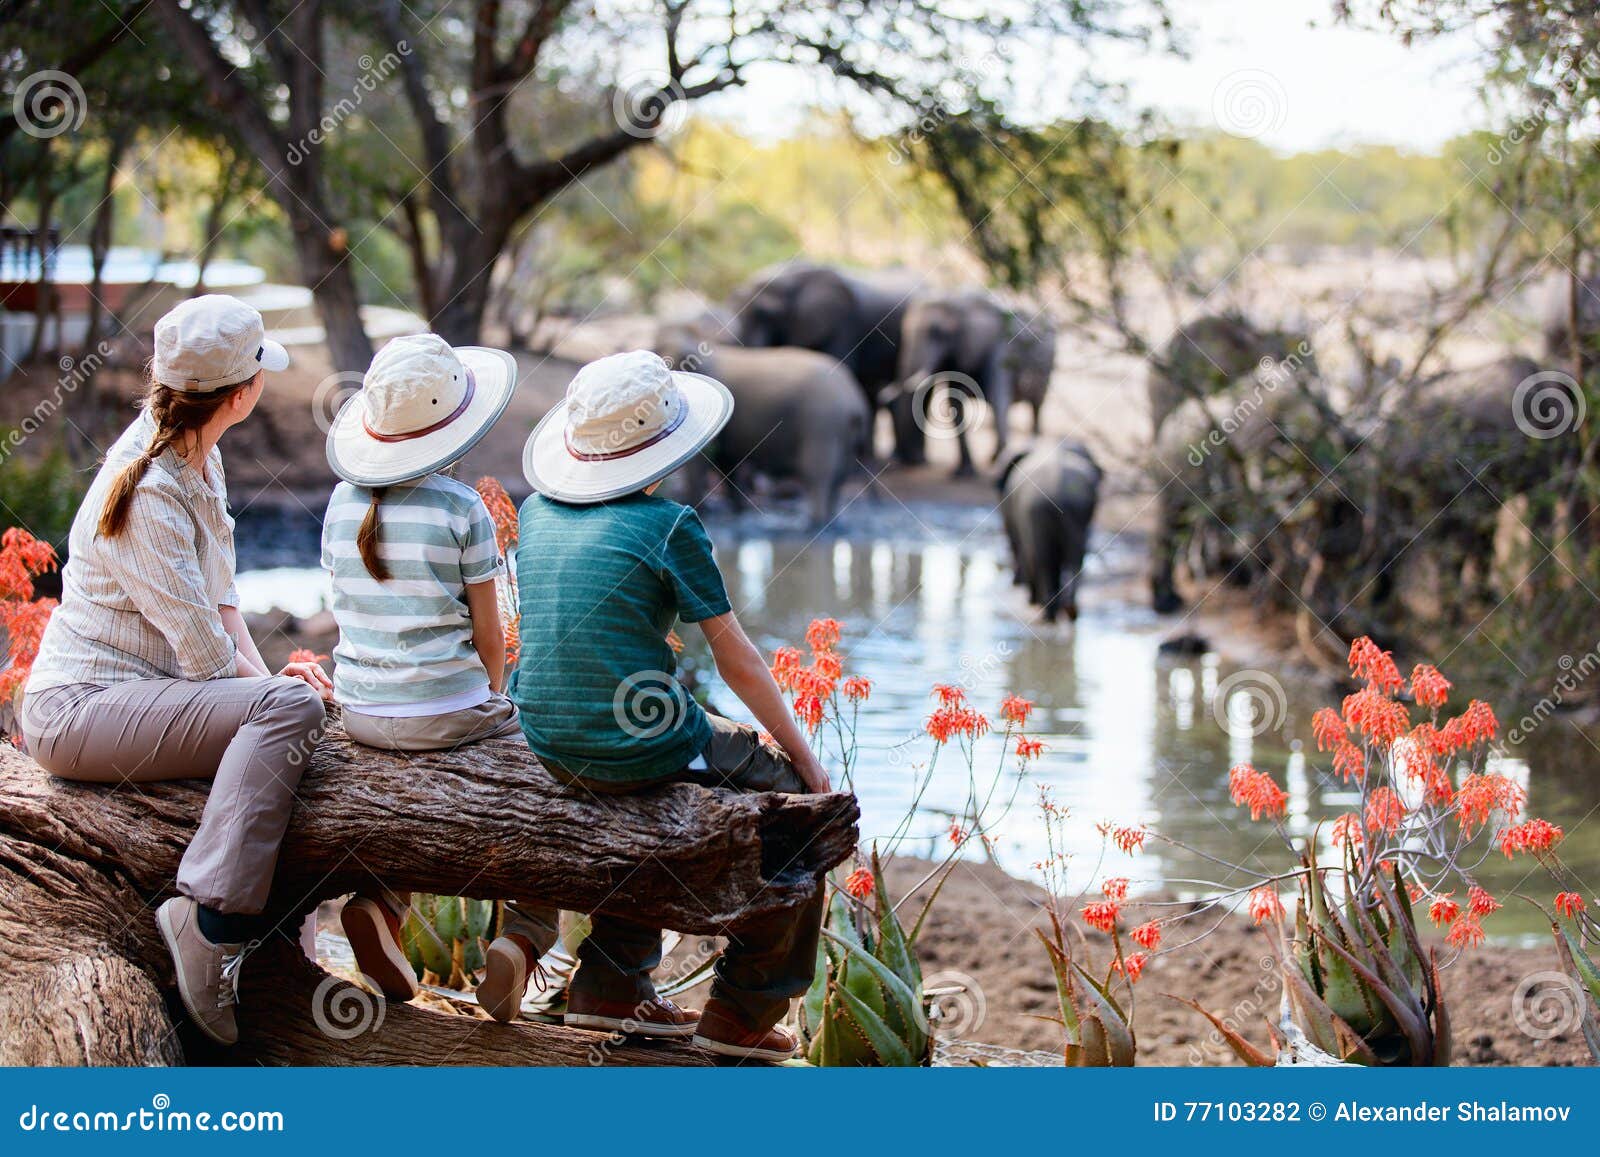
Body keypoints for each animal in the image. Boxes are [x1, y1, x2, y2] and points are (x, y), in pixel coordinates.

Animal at [652, 329, 870, 528]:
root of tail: (855, 401)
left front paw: (703, 511)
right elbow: (727, 462)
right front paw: (737, 511)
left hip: (822, 423)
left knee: (818, 473)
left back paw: (814, 523)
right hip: (840, 430)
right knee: (840, 475)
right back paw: (830, 522)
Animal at [889, 291, 1036, 476]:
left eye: (937, 333)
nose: (902, 463)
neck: (958, 302)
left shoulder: (1001, 348)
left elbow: (997, 397)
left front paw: (997, 463)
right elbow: (954, 401)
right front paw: (964, 472)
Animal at [998, 441, 1100, 624]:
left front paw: (1030, 598)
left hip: (1036, 509)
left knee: (1041, 558)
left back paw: (1047, 612)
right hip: (1073, 510)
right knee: (1074, 559)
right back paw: (1069, 611)